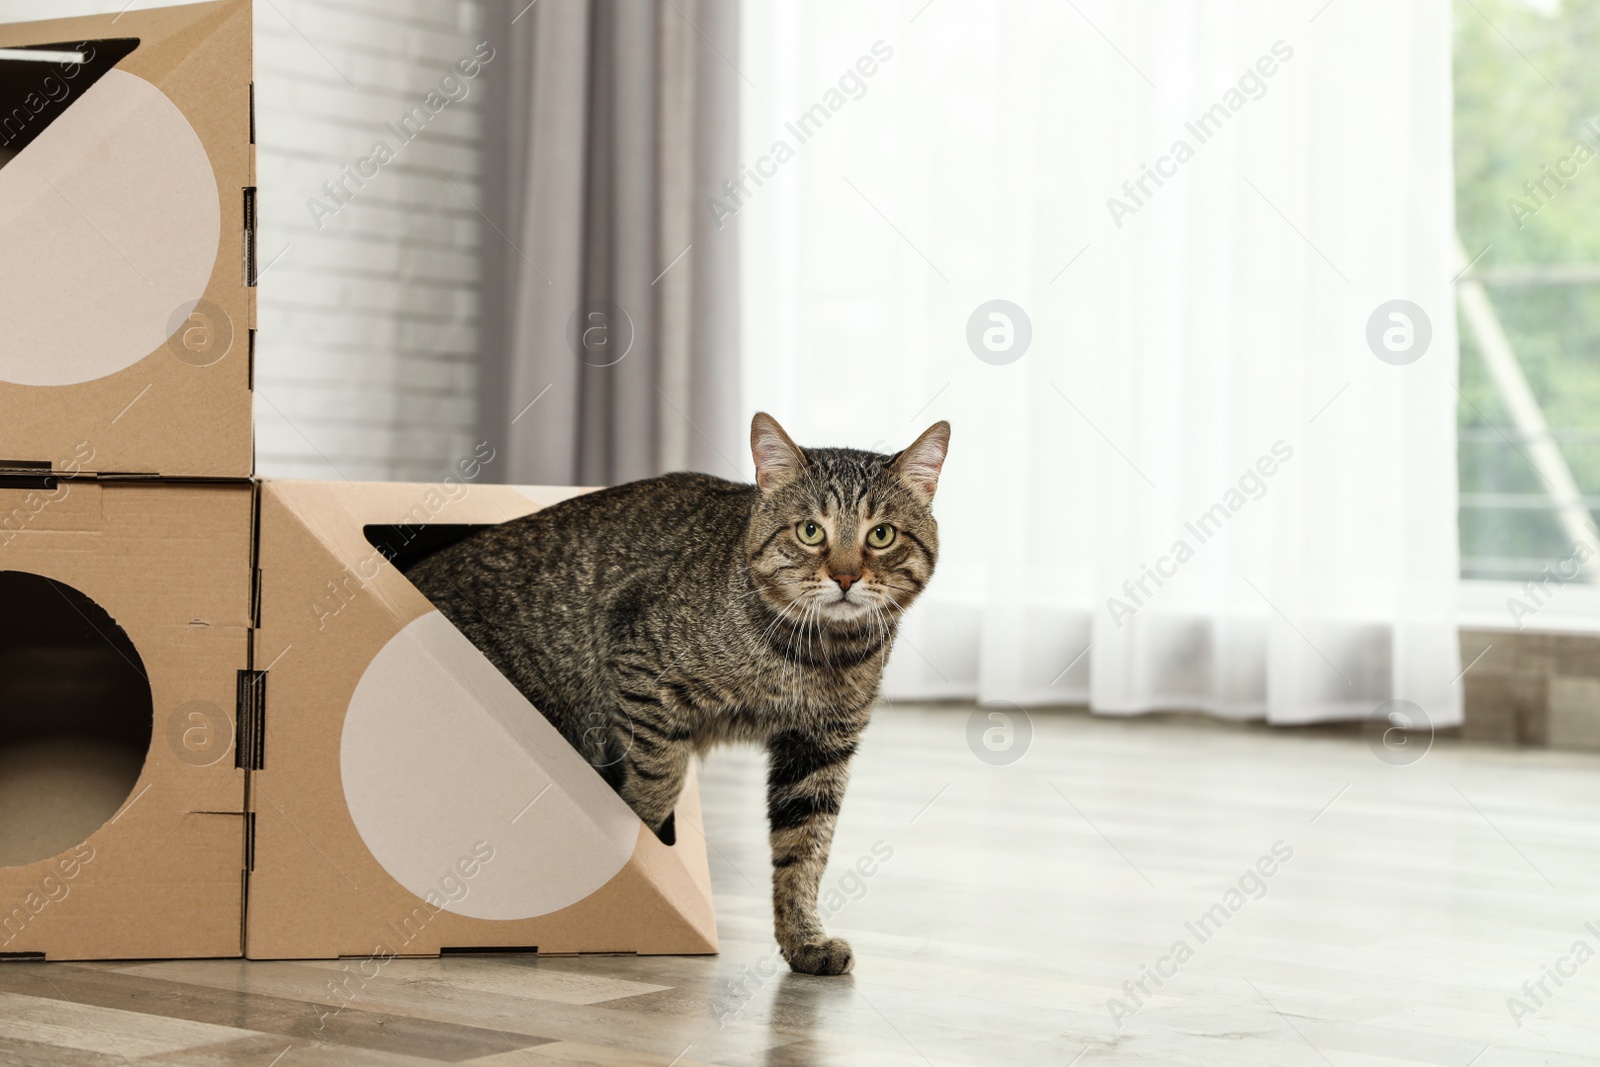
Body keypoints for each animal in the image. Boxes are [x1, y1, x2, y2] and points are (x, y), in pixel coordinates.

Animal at [406, 412, 947, 979]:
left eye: (881, 535)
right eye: (809, 531)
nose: (845, 576)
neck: (818, 654)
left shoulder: (820, 749)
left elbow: (805, 851)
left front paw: (803, 938)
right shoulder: (642, 670)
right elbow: (658, 782)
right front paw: (642, 862)